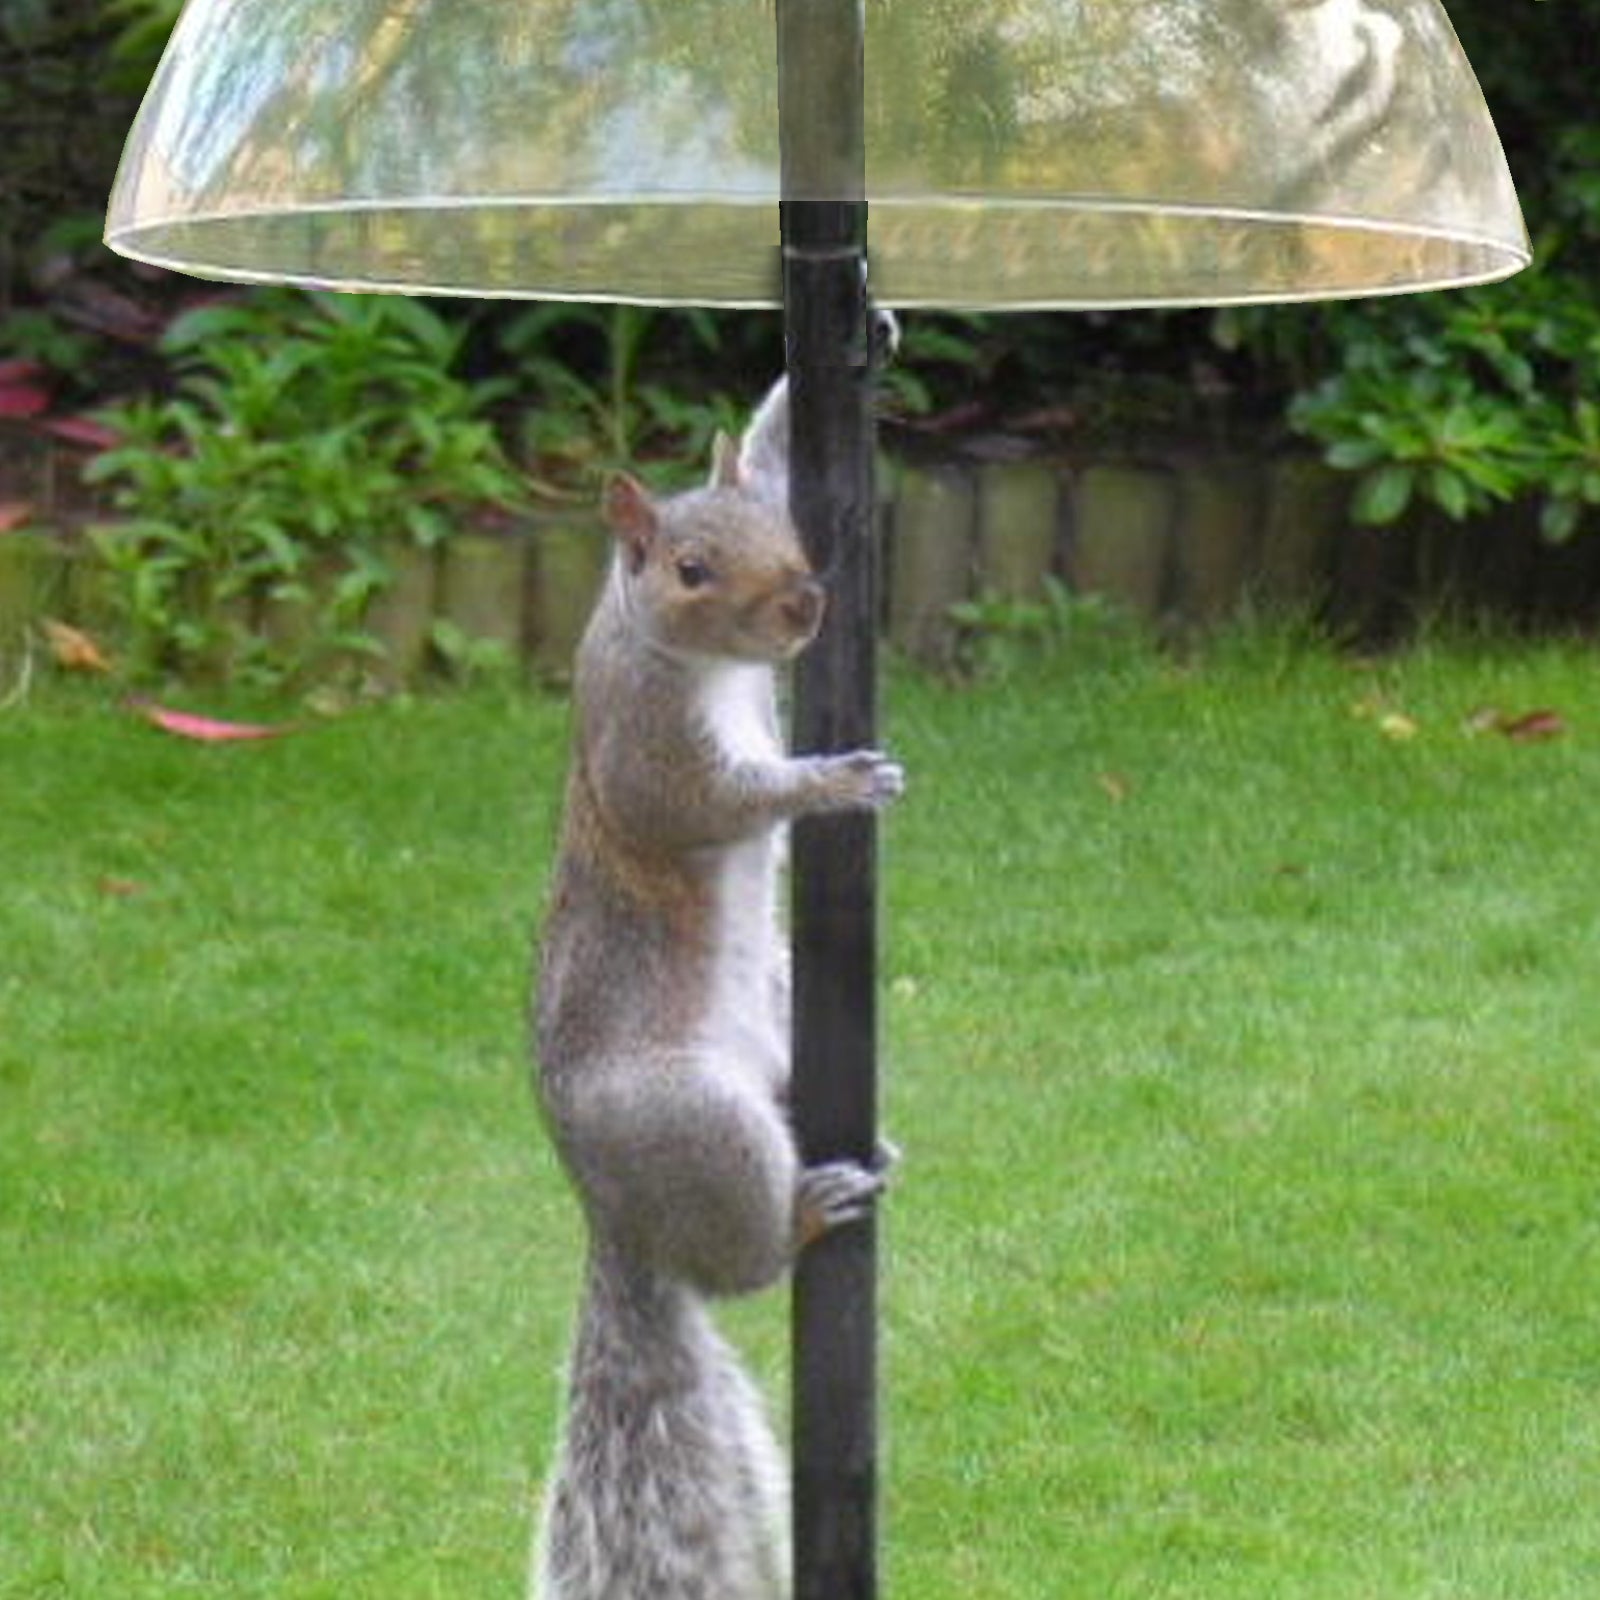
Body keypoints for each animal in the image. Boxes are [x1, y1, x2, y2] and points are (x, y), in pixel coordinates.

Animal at [530, 361, 904, 1600]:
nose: (806, 605)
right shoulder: (645, 747)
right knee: (744, 1265)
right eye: (690, 570)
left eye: (787, 532)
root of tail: (611, 1207)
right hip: (692, 1118)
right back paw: (807, 1211)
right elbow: (712, 802)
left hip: (780, 1011)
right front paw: (831, 781)